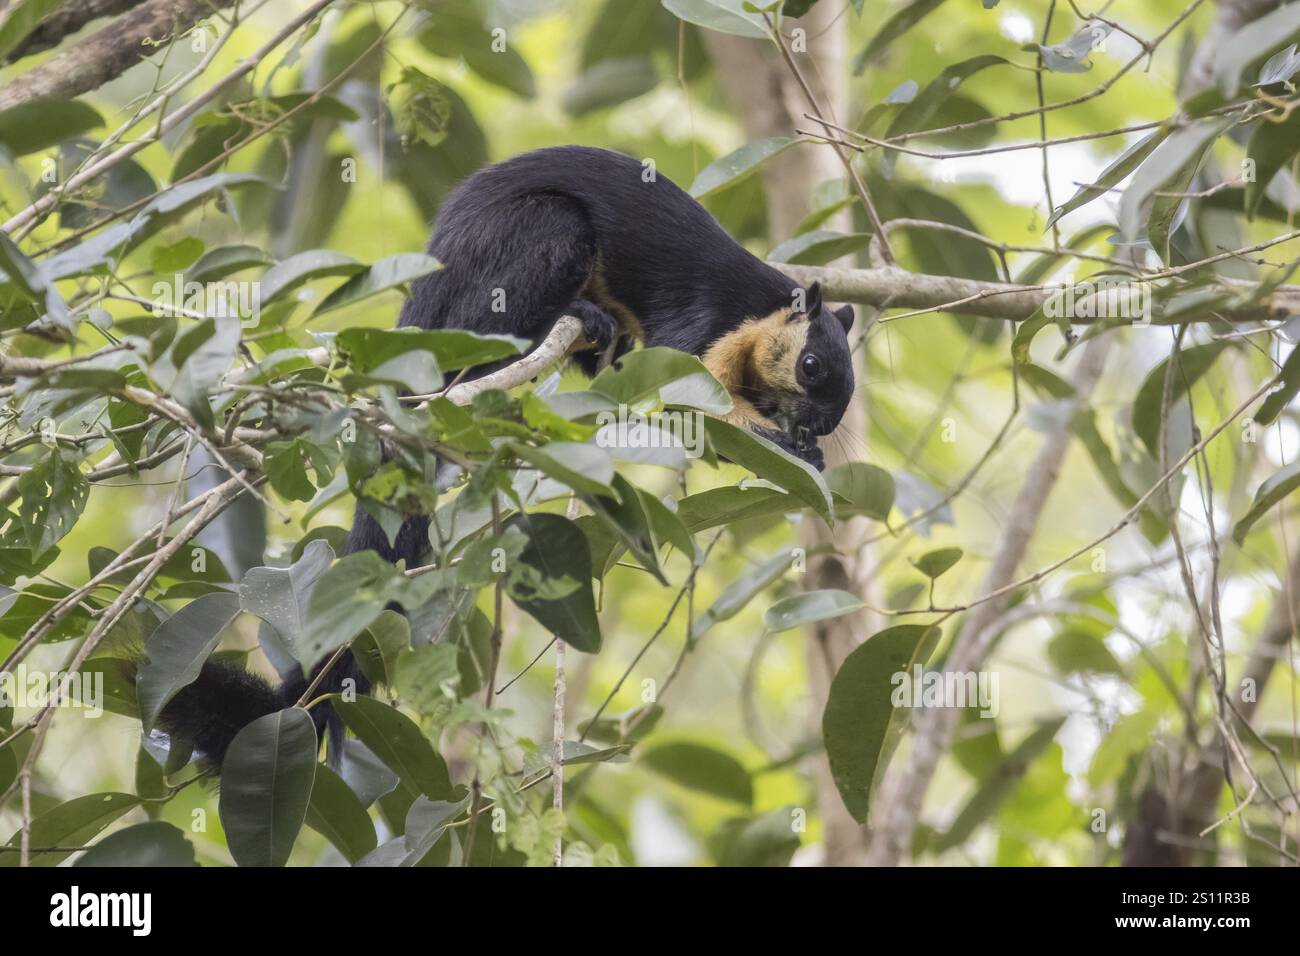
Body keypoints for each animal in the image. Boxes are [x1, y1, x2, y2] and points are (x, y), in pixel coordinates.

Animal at [155, 145, 856, 765]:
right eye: (812, 365)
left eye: (848, 392)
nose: (822, 423)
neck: (758, 313)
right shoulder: (701, 329)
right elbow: (690, 402)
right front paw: (783, 441)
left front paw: (806, 449)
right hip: (536, 236)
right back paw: (570, 316)